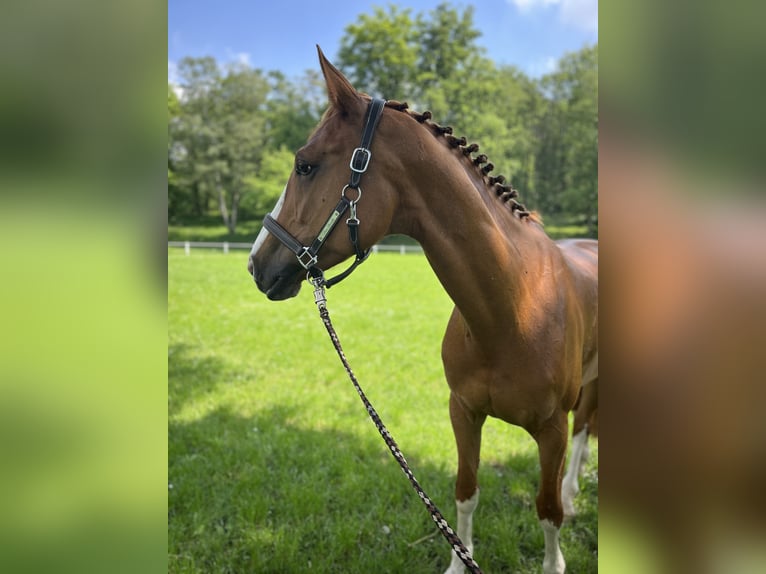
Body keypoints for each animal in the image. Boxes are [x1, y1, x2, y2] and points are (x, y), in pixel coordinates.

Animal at [249, 47, 596, 572]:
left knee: (582, 438)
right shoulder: (463, 412)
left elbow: (547, 509)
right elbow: (466, 491)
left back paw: (577, 495)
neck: (513, 312)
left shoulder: (551, 431)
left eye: (305, 166)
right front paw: (458, 561)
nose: (255, 263)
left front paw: (555, 560)